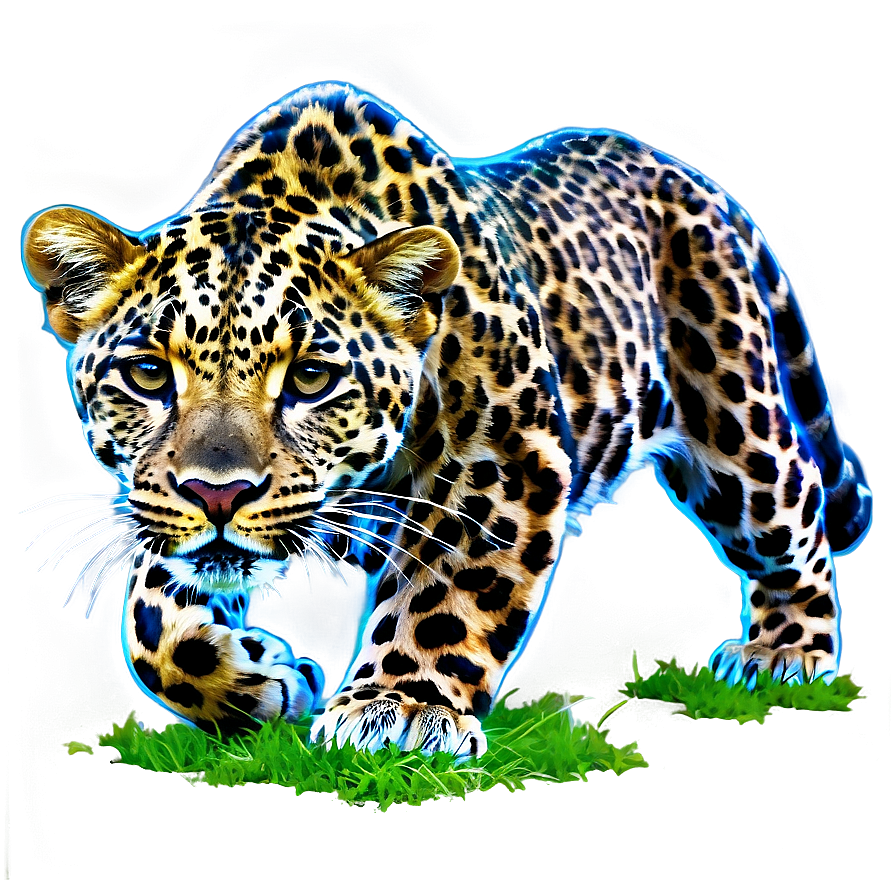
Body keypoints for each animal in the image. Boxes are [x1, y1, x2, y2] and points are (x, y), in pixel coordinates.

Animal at [23, 83, 872, 758]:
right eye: (147, 374)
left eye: (310, 378)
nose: (219, 496)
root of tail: (678, 169)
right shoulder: (161, 506)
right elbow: (151, 623)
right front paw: (258, 683)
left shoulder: (504, 457)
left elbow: (449, 592)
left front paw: (400, 708)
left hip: (739, 432)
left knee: (796, 515)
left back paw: (786, 655)